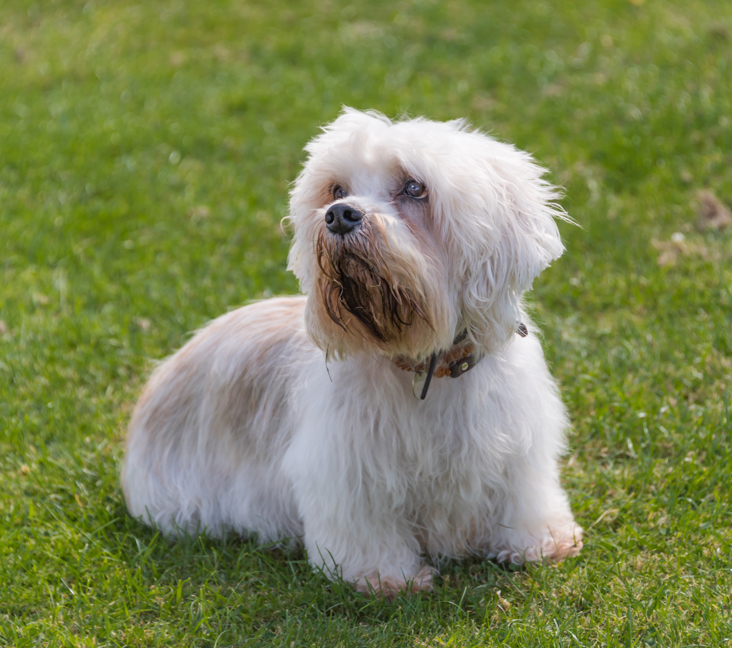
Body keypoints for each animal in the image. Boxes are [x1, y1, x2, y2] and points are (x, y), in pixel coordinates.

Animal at [123, 107, 588, 596]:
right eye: (336, 190)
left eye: (414, 187)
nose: (339, 215)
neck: (425, 365)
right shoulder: (346, 469)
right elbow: (366, 529)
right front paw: (384, 578)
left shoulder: (520, 451)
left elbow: (523, 499)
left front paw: (539, 542)